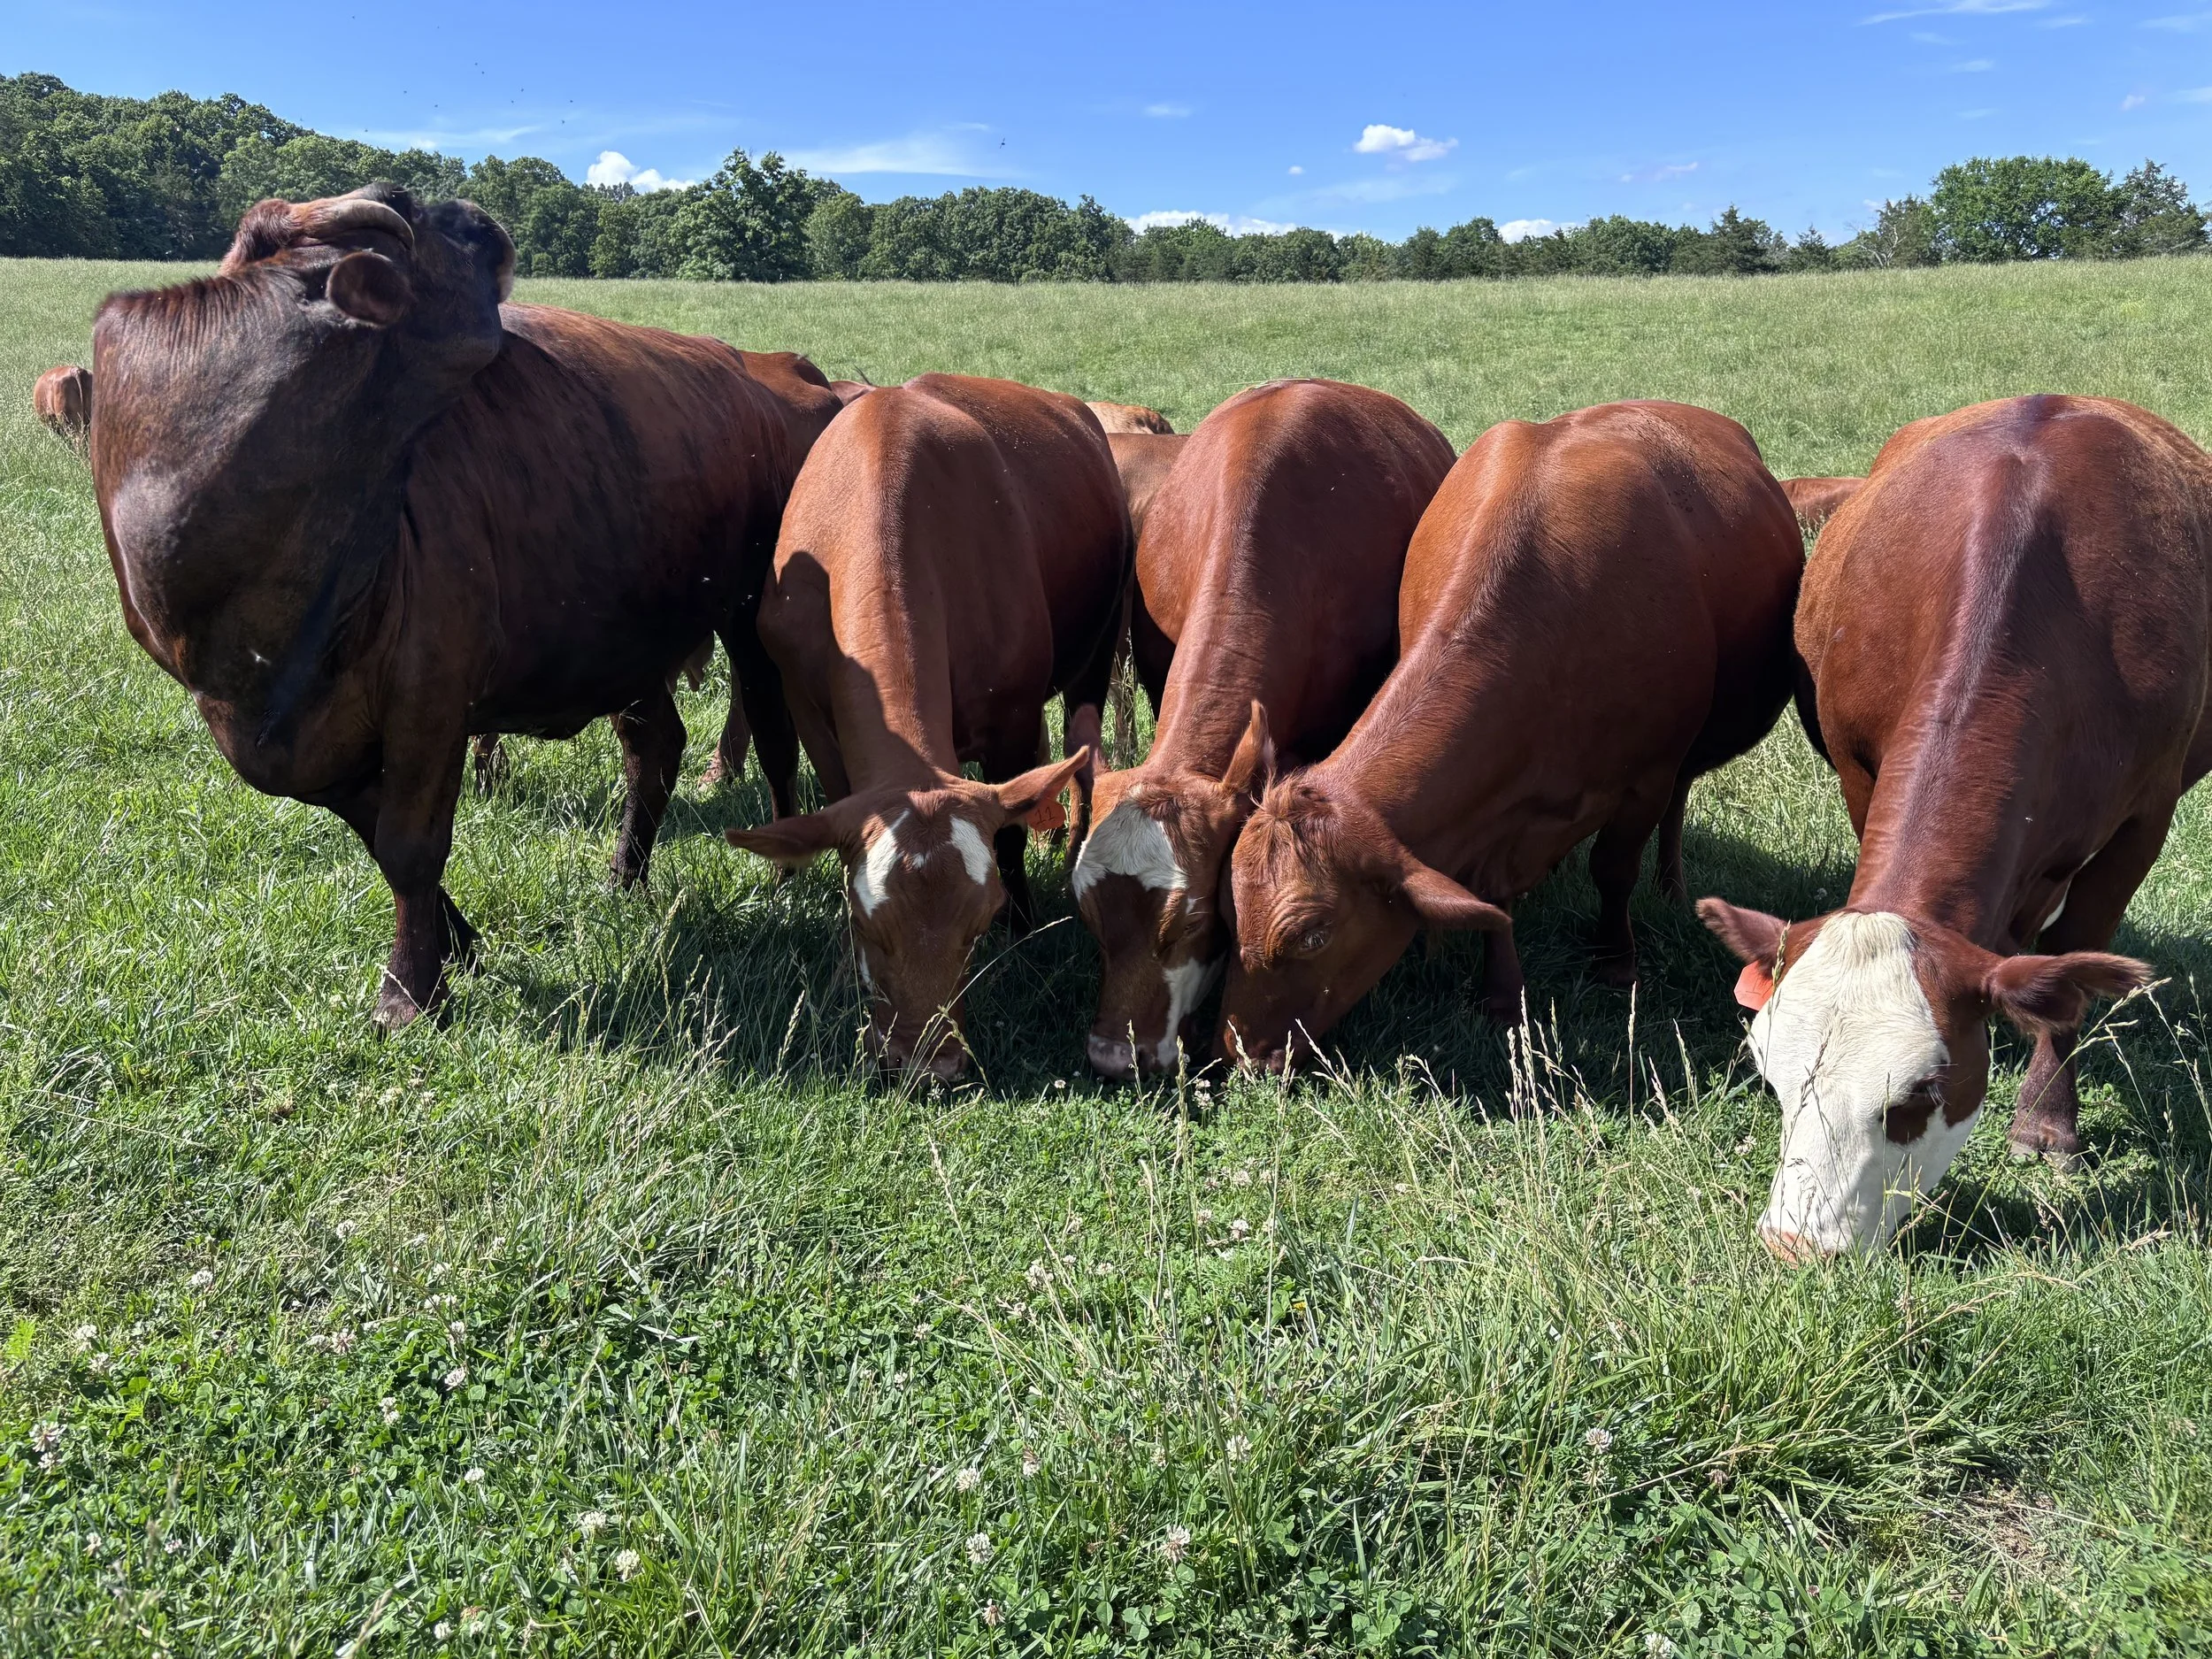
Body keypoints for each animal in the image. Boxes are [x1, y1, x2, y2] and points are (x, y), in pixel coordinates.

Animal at [89, 185, 842, 1029]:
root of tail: (780, 371)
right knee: (655, 745)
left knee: (773, 738)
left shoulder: (430, 696)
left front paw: (410, 989)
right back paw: (624, 877)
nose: (481, 215)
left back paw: (783, 876)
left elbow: (408, 845)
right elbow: (374, 833)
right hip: (627, 631)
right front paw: (457, 944)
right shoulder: (272, 738)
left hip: (749, 617)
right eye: (409, 208)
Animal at [723, 374, 1131, 1080]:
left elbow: (1008, 840)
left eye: (978, 923)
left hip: (1097, 653)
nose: (929, 1065)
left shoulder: (1012, 717)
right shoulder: (808, 708)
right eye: (866, 924)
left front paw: (1020, 932)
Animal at [1218, 400, 1804, 1072]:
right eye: (1227, 915)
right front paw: (1501, 994)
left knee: (1678, 804)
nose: (1240, 1052)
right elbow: (1491, 899)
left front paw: (1616, 961)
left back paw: (1671, 884)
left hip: (1684, 755)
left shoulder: (1645, 778)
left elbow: (1613, 868)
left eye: (1313, 934)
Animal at [1698, 395, 2206, 1260]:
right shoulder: (1860, 768)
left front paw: (2046, 1118)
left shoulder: (2148, 813)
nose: (1796, 1245)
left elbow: (2078, 958)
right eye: (1768, 1073)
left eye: (1918, 1095)